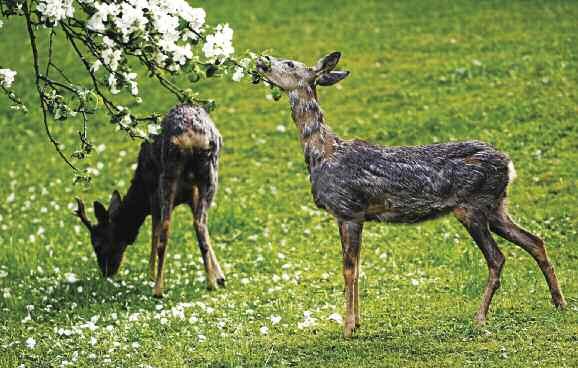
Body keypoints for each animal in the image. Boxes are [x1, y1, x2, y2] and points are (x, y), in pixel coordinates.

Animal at [72, 103, 225, 296]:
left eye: (97, 245)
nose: (106, 273)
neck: (141, 190)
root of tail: (190, 137)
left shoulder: (153, 194)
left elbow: (154, 231)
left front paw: (150, 274)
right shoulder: (192, 192)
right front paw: (220, 277)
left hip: (167, 175)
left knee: (165, 228)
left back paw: (158, 288)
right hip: (209, 173)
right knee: (199, 223)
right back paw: (210, 283)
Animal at [254, 53, 564, 338]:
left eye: (290, 63)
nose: (262, 60)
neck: (323, 154)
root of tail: (508, 164)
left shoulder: (348, 210)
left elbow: (349, 270)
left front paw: (348, 328)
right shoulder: (357, 216)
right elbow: (358, 268)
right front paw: (358, 323)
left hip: (472, 206)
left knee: (498, 258)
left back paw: (479, 318)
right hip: (497, 206)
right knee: (535, 240)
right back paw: (558, 302)